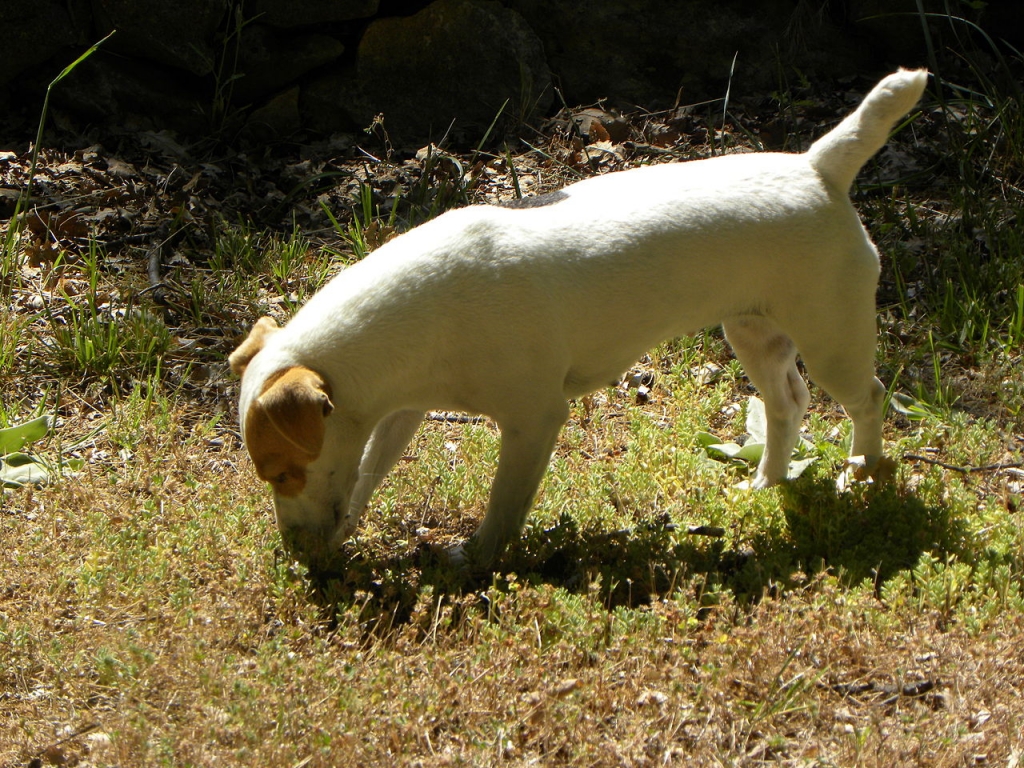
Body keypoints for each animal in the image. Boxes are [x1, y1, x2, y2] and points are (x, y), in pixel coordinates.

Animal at [230, 67, 929, 573]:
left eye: (282, 472)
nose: (296, 555)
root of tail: (819, 166)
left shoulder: (534, 419)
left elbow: (504, 504)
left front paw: (476, 560)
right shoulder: (401, 409)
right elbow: (367, 471)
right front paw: (350, 530)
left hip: (832, 334)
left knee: (868, 398)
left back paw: (861, 472)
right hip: (754, 332)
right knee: (789, 404)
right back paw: (764, 484)